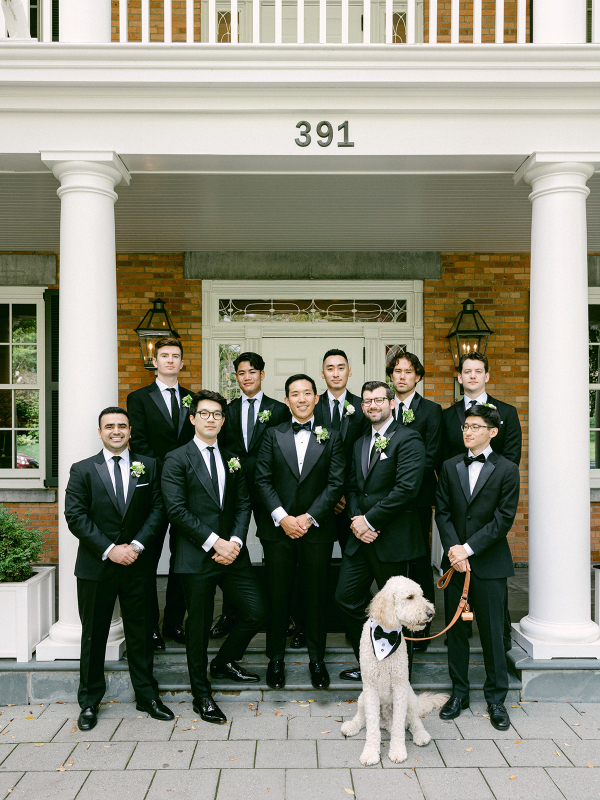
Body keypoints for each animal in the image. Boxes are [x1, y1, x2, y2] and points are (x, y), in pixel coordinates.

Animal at [340, 572, 448, 764]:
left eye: (421, 595)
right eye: (410, 597)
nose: (431, 612)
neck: (385, 635)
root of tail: (385, 724)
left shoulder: (399, 688)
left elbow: (399, 726)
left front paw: (397, 751)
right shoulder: (370, 688)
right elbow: (372, 727)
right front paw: (370, 752)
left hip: (410, 698)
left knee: (414, 722)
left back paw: (421, 735)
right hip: (362, 697)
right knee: (363, 719)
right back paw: (352, 726)